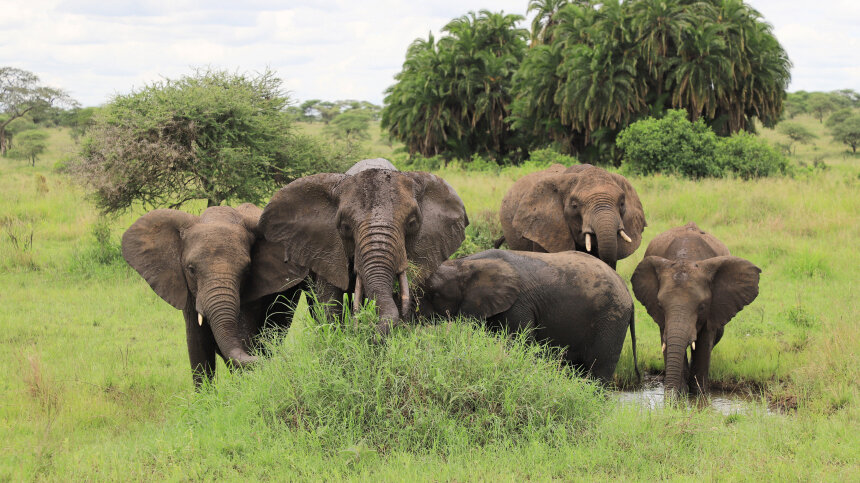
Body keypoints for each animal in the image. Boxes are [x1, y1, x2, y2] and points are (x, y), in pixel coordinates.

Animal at [416, 250, 640, 386]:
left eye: (432, 294)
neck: (466, 263)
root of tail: (628, 295)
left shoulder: (518, 306)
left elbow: (519, 346)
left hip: (610, 319)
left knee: (598, 373)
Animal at [628, 223, 764, 398]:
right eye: (659, 305)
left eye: (702, 306)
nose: (669, 395)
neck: (686, 258)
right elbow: (667, 340)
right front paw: (681, 394)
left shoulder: (713, 309)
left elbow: (704, 342)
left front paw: (698, 394)